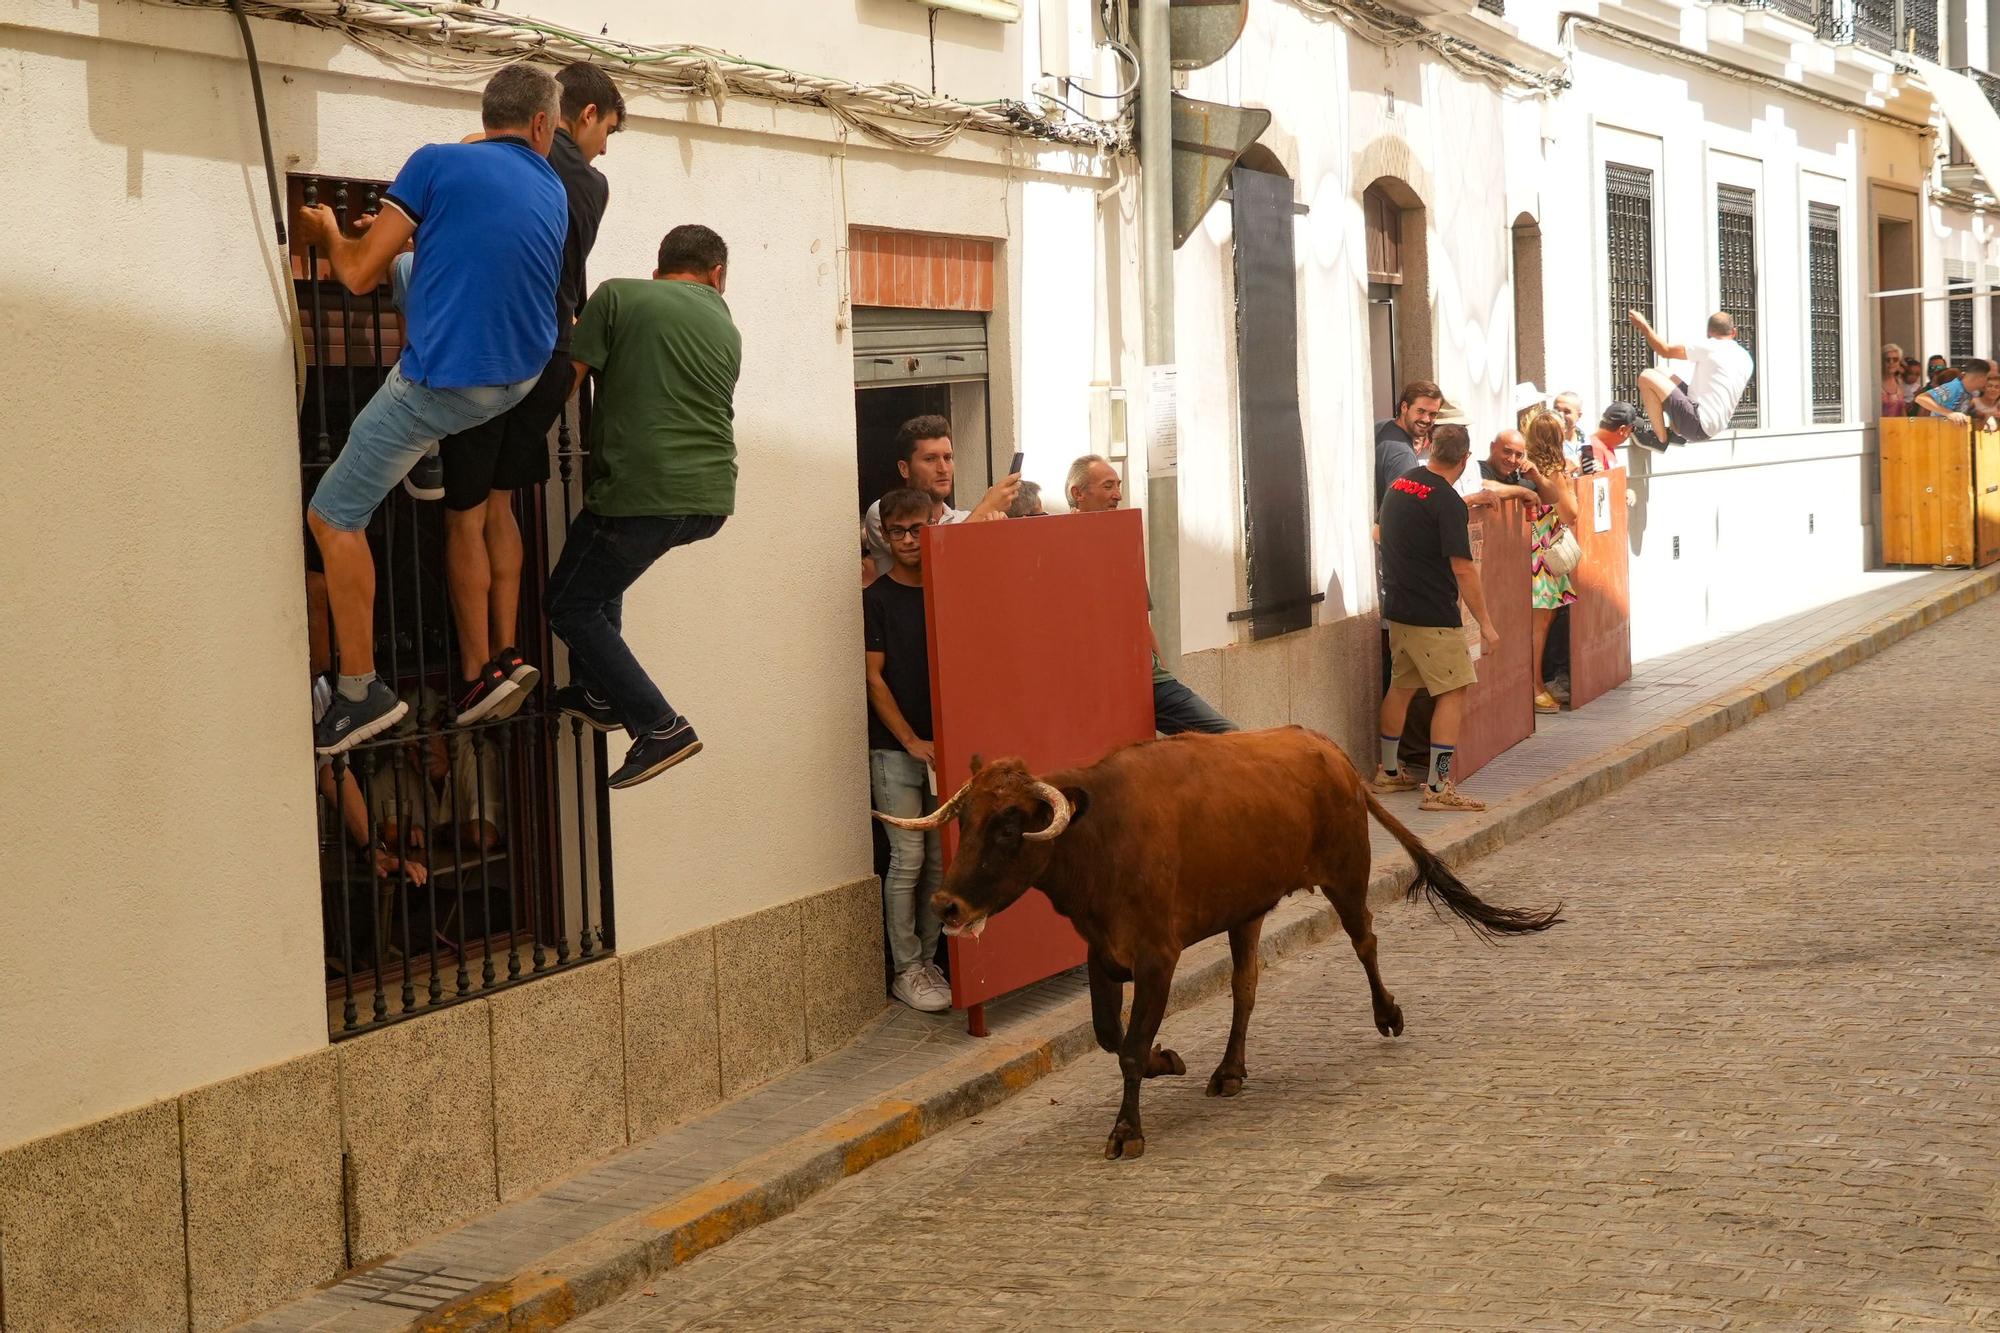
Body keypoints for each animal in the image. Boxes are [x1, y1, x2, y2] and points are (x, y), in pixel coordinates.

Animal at [880, 720, 1560, 1160]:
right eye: (966, 820)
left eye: (1008, 827)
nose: (945, 905)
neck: (1099, 838)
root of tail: (1326, 748)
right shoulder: (1102, 953)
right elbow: (1110, 1036)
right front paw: (1169, 1060)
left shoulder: (1157, 956)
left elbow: (1129, 1048)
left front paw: (1127, 1130)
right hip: (1246, 910)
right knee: (1245, 987)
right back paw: (1230, 1069)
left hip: (1347, 875)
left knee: (1365, 940)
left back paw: (1387, 1013)